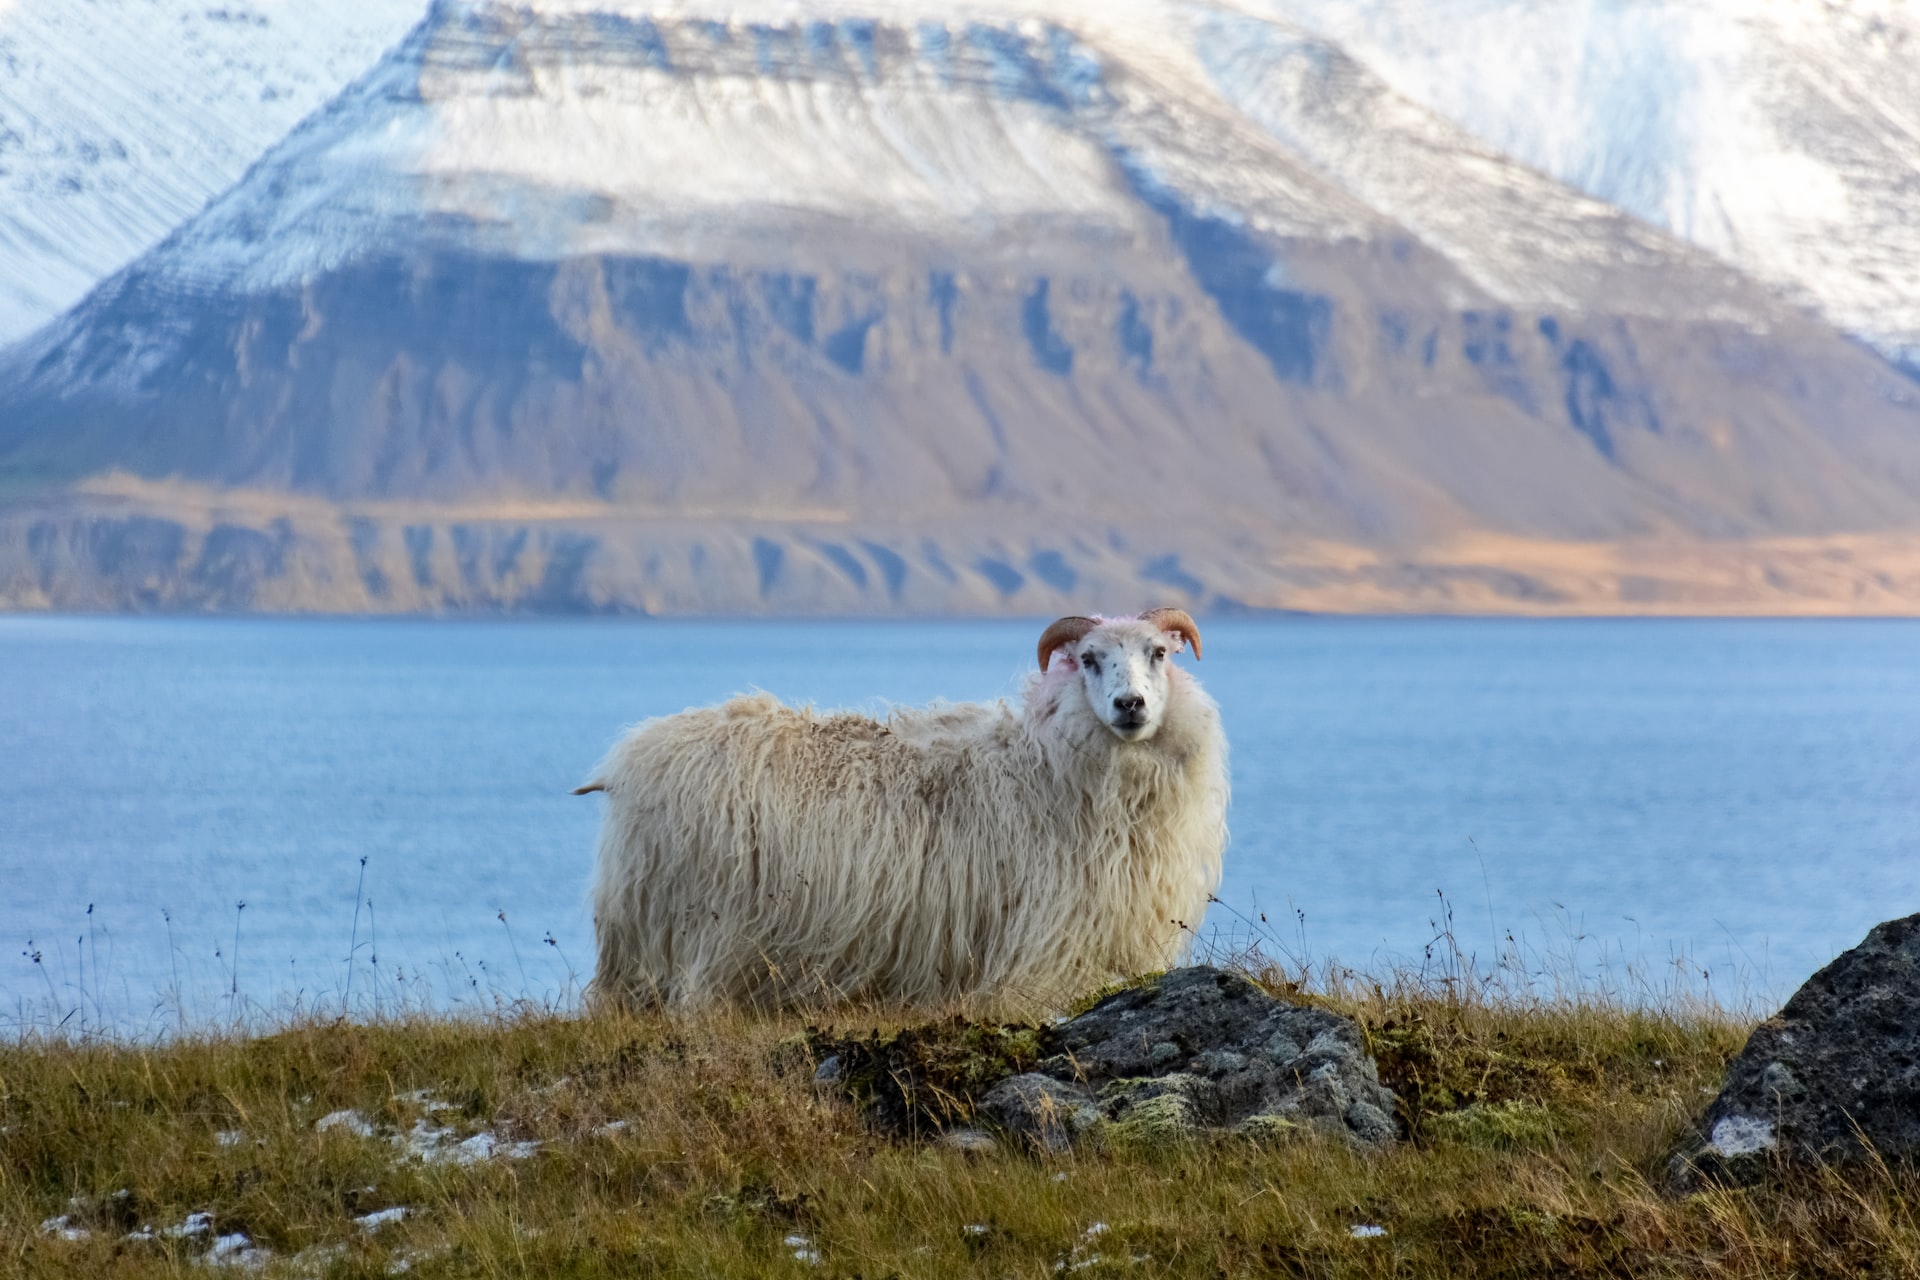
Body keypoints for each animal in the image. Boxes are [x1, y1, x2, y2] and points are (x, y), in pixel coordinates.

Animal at [576, 610, 1228, 1013]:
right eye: (1088, 659)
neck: (1046, 764)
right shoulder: (1047, 945)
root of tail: (637, 753)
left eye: (1159, 653)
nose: (1130, 704)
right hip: (685, 925)